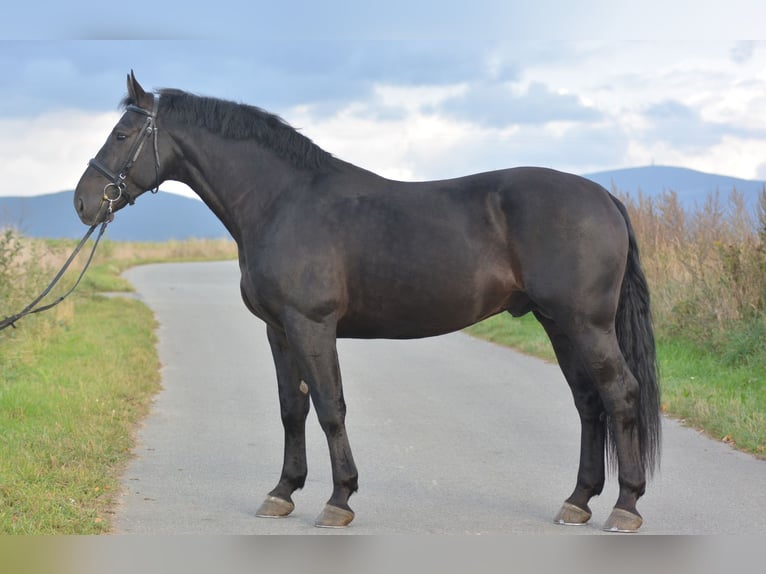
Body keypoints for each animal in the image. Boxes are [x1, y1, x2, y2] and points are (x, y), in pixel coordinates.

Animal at [76, 74, 660, 532]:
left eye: (122, 134)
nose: (84, 202)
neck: (281, 202)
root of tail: (604, 198)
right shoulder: (279, 330)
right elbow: (292, 409)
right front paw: (282, 492)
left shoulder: (311, 325)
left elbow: (330, 407)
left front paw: (339, 499)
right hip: (558, 323)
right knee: (588, 402)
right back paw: (578, 501)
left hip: (585, 324)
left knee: (620, 394)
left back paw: (626, 506)